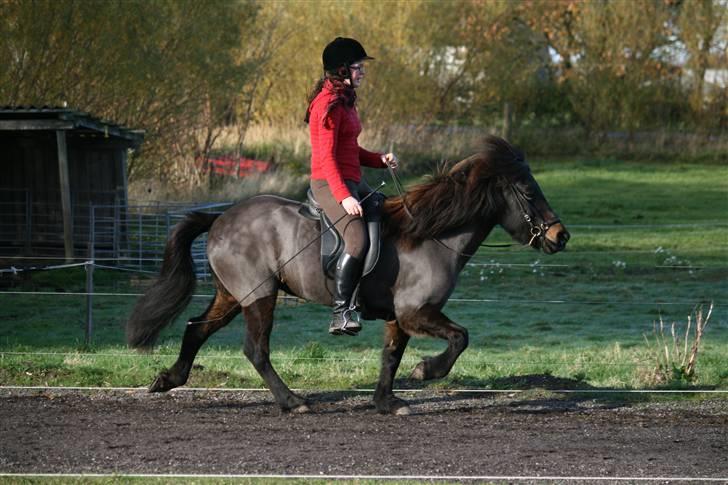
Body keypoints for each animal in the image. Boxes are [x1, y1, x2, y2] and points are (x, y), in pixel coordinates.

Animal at [125, 134, 568, 414]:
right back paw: (293, 402)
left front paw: (387, 402)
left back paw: (167, 379)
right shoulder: (416, 313)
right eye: (529, 192)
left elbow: (391, 357)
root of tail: (220, 217)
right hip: (259, 295)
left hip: (233, 295)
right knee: (255, 350)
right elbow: (460, 337)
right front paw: (427, 371)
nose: (560, 236)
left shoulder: (398, 317)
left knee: (196, 329)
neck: (431, 235)